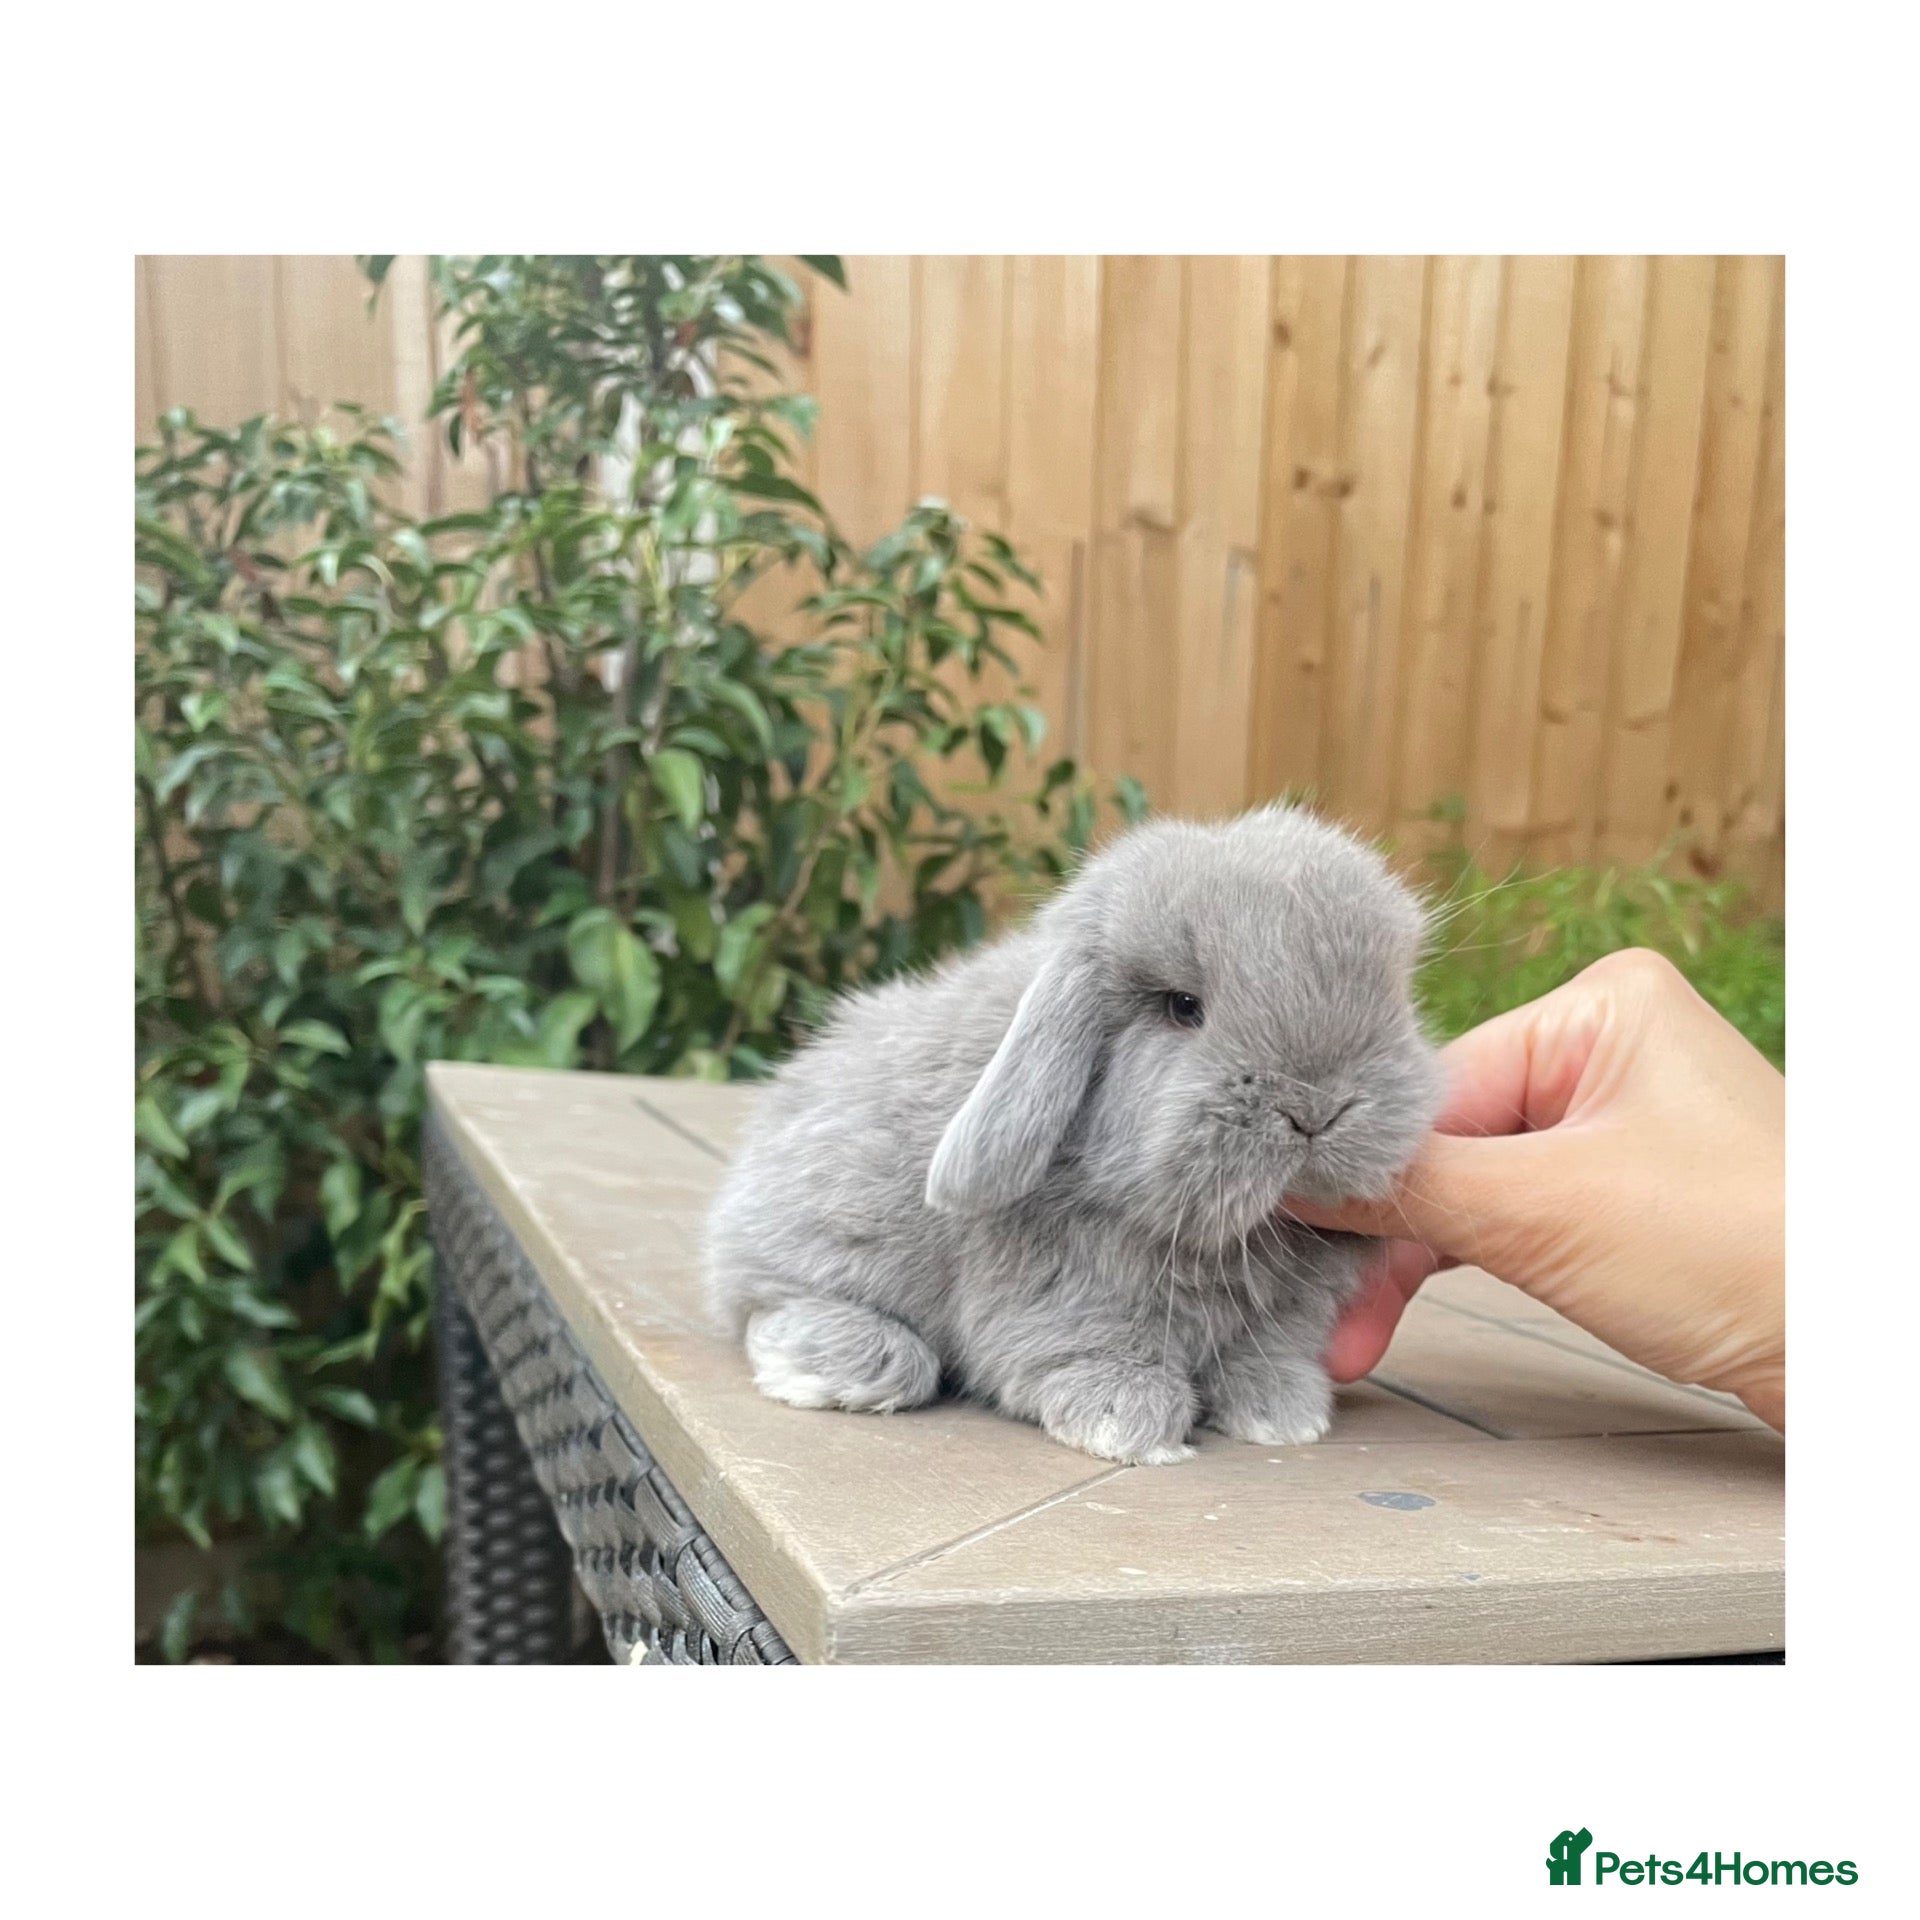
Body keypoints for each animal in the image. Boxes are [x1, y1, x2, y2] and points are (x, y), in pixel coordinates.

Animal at [703, 805, 1444, 1466]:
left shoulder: (1289, 1305)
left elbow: (1270, 1348)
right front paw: (1126, 1419)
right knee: (768, 1306)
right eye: (1183, 1008)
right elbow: (1083, 1339)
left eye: (1395, 999)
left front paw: (1283, 1414)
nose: (1317, 1108)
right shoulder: (1058, 1285)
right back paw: (846, 1367)